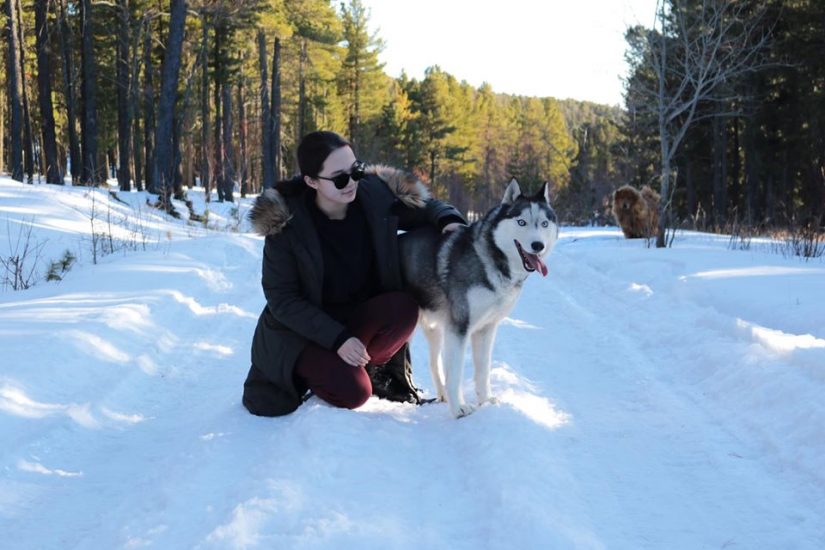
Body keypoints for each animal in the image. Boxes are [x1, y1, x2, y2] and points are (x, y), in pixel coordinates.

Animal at [400, 180, 560, 418]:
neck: (492, 258)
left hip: (434, 329)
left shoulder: (486, 328)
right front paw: (459, 408)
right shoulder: (459, 328)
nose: (537, 245)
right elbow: (456, 372)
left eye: (544, 223)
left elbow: (483, 370)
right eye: (521, 222)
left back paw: (442, 395)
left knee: (433, 363)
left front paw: (485, 400)